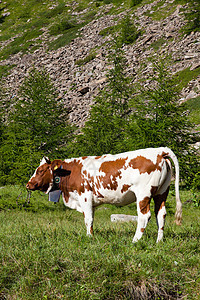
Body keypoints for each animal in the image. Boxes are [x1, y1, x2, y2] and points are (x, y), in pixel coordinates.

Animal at [25, 146, 182, 243]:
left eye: (40, 170)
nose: (28, 184)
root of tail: (160, 151)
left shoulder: (85, 196)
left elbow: (88, 219)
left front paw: (89, 238)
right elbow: (90, 219)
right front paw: (91, 235)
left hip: (143, 193)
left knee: (144, 216)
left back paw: (135, 240)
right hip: (162, 192)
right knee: (160, 214)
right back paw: (159, 241)